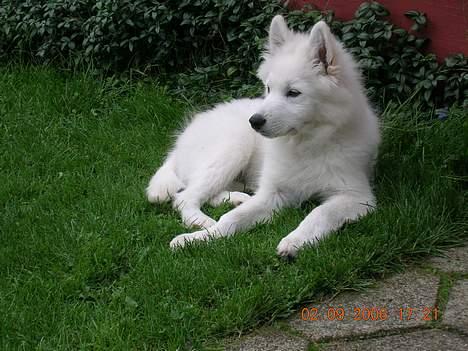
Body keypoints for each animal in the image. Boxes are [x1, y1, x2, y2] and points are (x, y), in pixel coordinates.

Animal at [146, 15, 380, 258]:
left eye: (293, 93)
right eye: (268, 88)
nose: (254, 122)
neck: (307, 144)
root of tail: (179, 145)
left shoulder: (355, 196)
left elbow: (318, 214)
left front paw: (294, 241)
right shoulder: (273, 192)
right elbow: (230, 219)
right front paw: (200, 239)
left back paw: (235, 199)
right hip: (233, 146)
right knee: (185, 197)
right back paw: (202, 222)